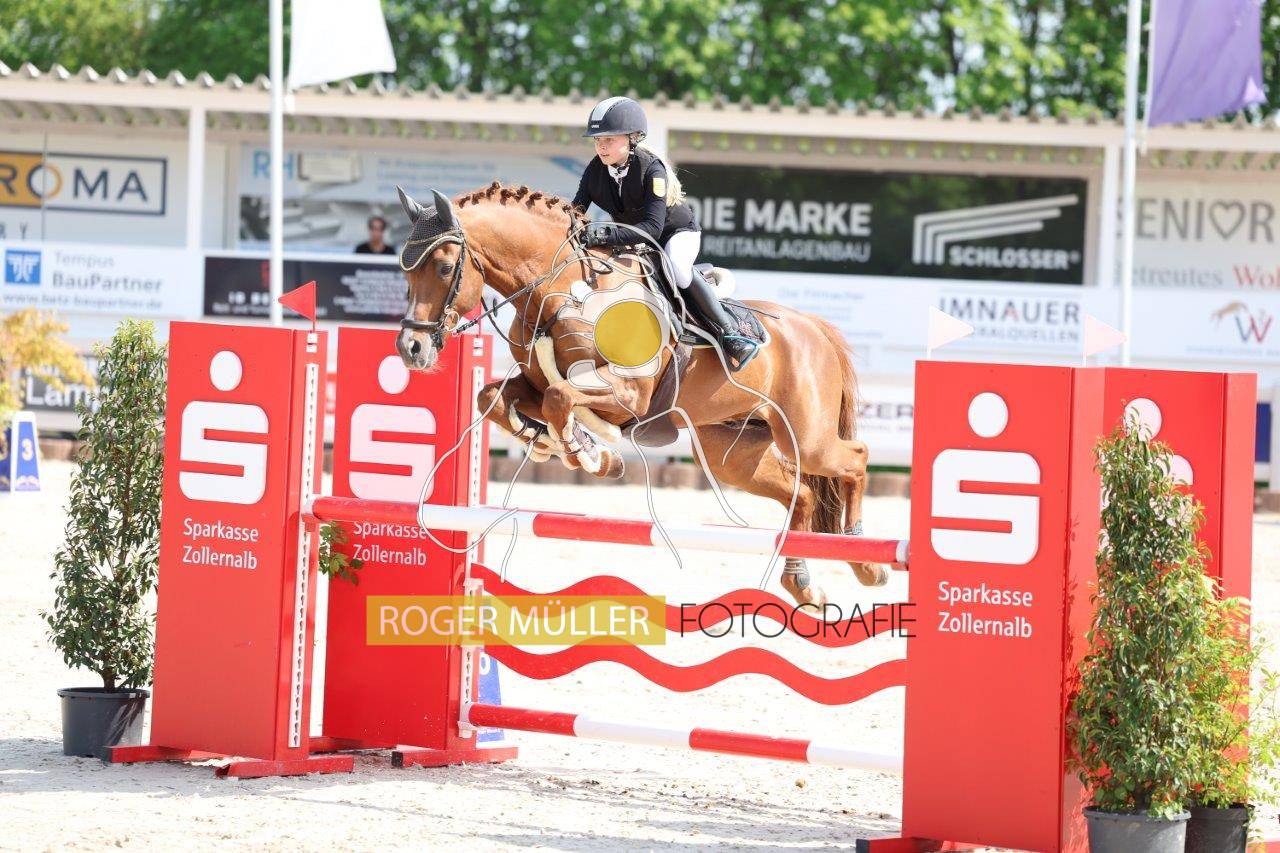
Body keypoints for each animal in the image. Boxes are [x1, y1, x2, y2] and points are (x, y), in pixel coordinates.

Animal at [394, 182, 887, 607]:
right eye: (406, 271)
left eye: (444, 267)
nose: (410, 349)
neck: (562, 289)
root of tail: (814, 327)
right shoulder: (533, 382)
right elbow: (497, 398)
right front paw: (547, 441)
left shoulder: (627, 397)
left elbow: (561, 400)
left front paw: (592, 455)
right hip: (730, 453)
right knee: (801, 495)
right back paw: (804, 584)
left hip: (805, 436)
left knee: (855, 458)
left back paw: (867, 561)